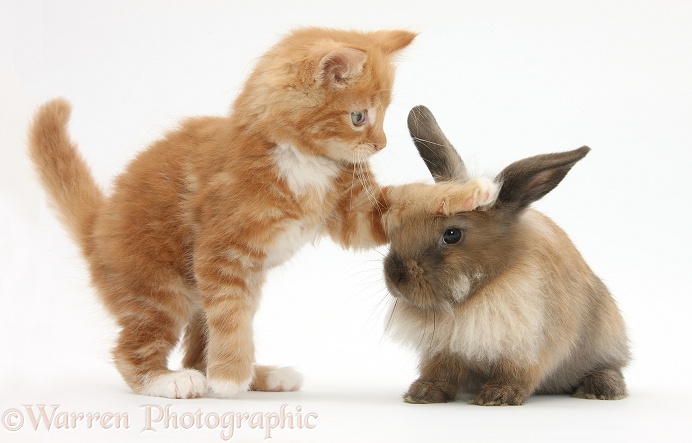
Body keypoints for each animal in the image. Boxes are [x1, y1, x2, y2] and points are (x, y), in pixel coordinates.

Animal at [28, 29, 498, 400]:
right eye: (359, 116)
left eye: (384, 116)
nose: (381, 144)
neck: (304, 161)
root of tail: (96, 225)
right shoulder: (221, 252)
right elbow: (231, 319)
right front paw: (229, 378)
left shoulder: (360, 212)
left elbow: (409, 197)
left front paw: (472, 190)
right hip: (157, 289)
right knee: (133, 348)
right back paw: (172, 380)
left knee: (199, 345)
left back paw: (259, 375)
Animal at [386, 106, 628, 406]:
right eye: (402, 223)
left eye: (452, 234)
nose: (394, 276)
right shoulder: (446, 347)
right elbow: (441, 370)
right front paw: (422, 393)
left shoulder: (527, 344)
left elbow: (515, 370)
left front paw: (497, 395)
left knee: (609, 368)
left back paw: (601, 389)